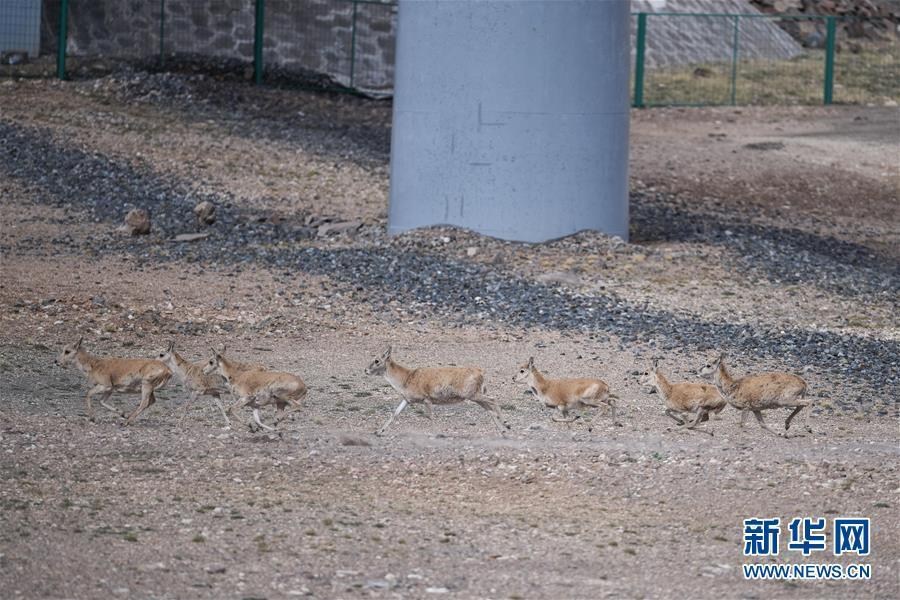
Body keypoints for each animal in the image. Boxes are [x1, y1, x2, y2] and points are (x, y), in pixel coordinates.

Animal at [364, 346, 506, 436]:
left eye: (377, 360)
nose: (365, 370)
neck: (406, 378)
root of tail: (481, 372)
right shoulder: (407, 400)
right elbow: (395, 414)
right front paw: (378, 432)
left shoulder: (426, 399)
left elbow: (429, 416)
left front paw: (437, 433)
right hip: (475, 396)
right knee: (490, 409)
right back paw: (503, 431)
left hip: (473, 395)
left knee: (493, 400)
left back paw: (506, 424)